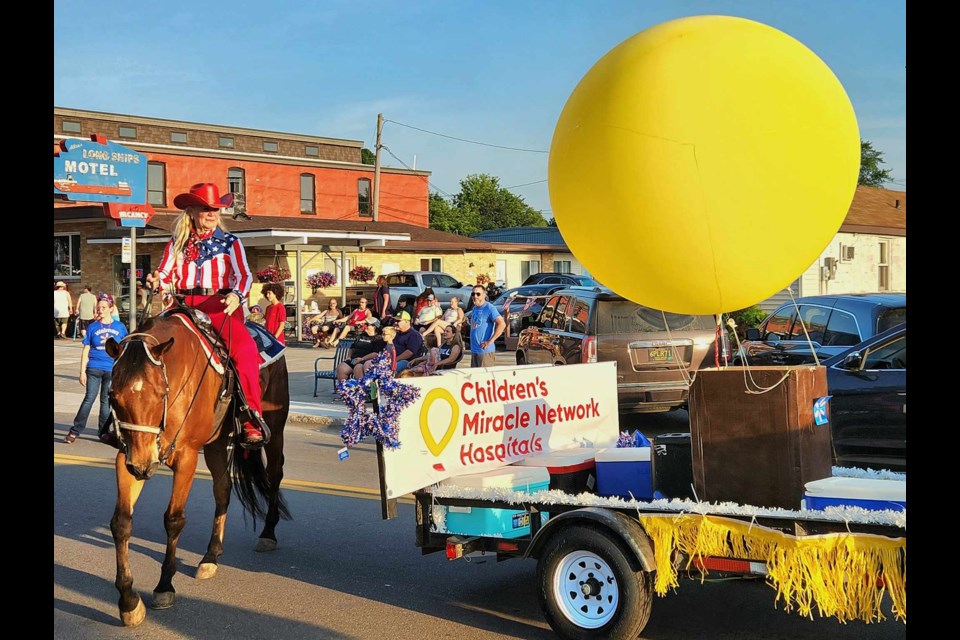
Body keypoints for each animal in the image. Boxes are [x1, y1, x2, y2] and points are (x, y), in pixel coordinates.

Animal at [103, 312, 288, 628]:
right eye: (114, 396)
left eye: (160, 393)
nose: (142, 466)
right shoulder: (127, 456)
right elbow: (121, 523)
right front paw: (128, 602)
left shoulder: (186, 457)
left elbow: (174, 519)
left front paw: (164, 586)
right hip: (216, 444)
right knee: (223, 491)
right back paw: (211, 556)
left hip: (274, 429)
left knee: (274, 475)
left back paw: (268, 533)